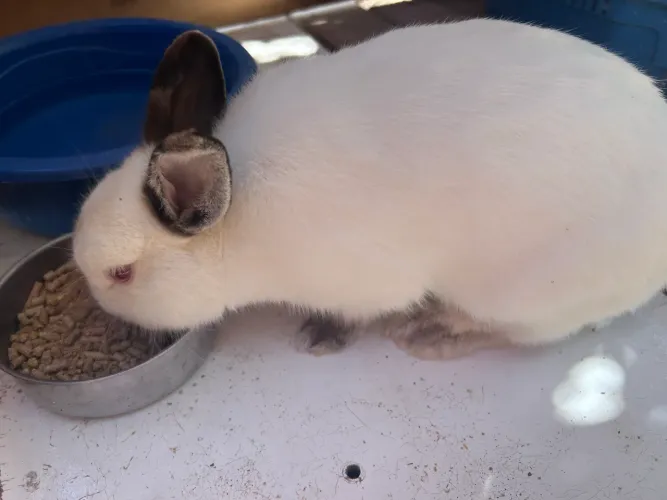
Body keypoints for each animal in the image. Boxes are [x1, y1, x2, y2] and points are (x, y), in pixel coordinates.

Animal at [73, 18, 667, 361]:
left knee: (524, 333)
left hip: (524, 294)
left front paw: (319, 337)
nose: (97, 307)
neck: (239, 207)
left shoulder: (365, 281)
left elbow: (360, 313)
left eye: (121, 274)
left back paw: (429, 336)